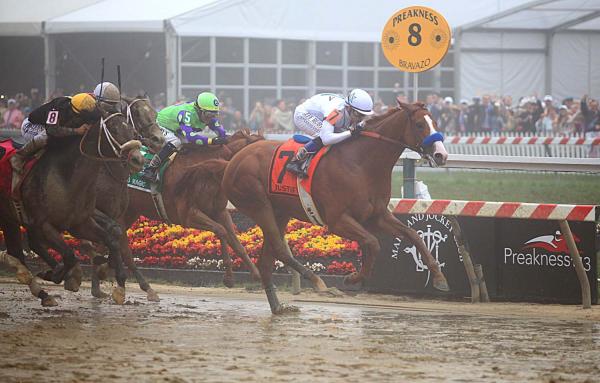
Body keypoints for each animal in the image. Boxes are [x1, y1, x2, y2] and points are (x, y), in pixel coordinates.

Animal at [0, 109, 142, 306]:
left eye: (132, 130)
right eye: (113, 129)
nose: (138, 159)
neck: (67, 176)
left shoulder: (80, 223)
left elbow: (111, 239)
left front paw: (119, 283)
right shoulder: (44, 224)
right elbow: (69, 254)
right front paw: (60, 275)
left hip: (9, 217)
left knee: (21, 250)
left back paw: (42, 290)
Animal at [224, 102, 450, 316]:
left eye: (435, 123)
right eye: (419, 124)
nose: (441, 155)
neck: (361, 164)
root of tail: (237, 156)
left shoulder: (376, 216)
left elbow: (413, 235)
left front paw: (439, 277)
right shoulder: (337, 220)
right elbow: (372, 242)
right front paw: (352, 278)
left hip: (280, 211)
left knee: (267, 260)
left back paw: (278, 307)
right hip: (258, 205)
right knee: (279, 248)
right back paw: (318, 282)